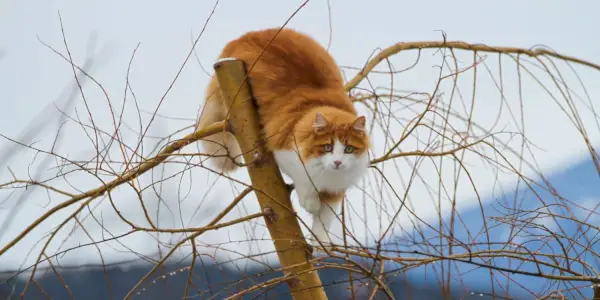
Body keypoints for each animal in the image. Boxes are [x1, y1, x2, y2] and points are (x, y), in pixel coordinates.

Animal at [197, 27, 370, 246]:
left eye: (348, 149)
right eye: (327, 147)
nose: (338, 162)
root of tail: (248, 34)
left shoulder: (336, 190)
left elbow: (324, 220)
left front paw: (320, 243)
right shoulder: (284, 153)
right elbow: (304, 183)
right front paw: (310, 203)